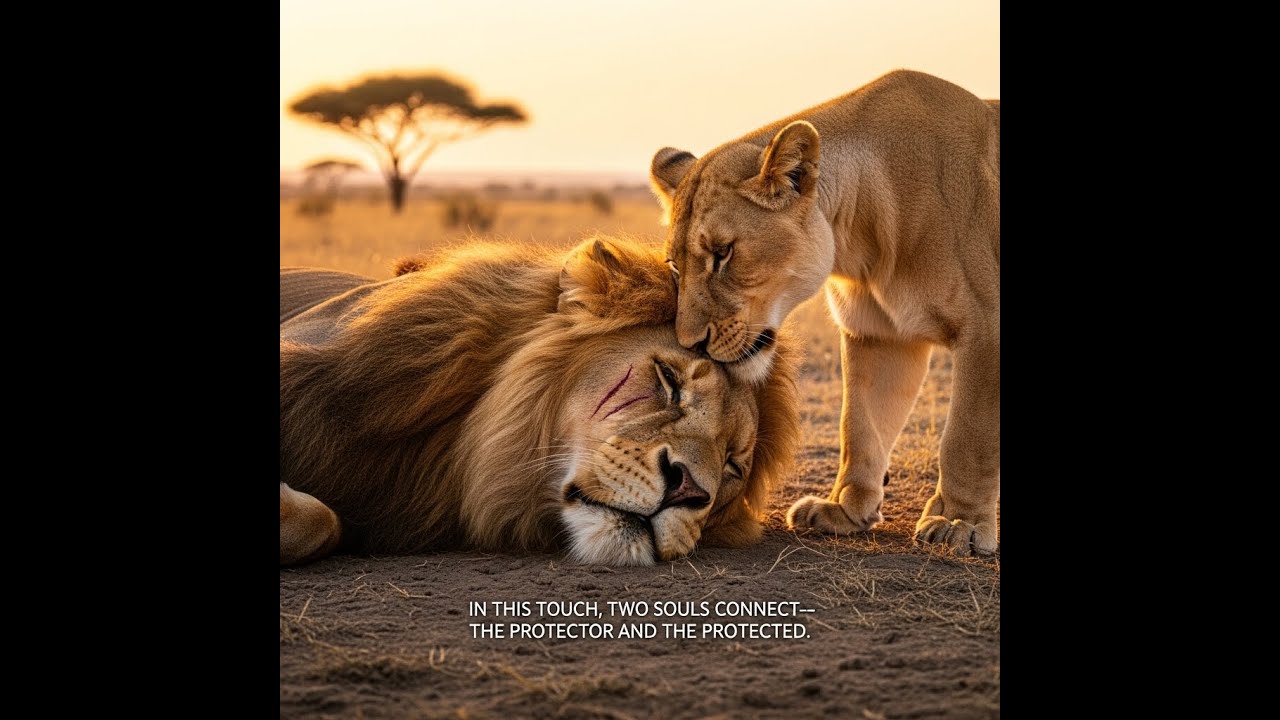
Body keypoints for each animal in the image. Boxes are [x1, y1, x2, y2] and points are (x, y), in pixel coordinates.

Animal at [649, 70, 999, 556]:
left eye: (723, 253)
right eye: (675, 266)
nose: (690, 343)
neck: (862, 241)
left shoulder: (987, 329)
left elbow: (968, 437)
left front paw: (957, 521)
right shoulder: (879, 336)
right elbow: (861, 426)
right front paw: (845, 509)